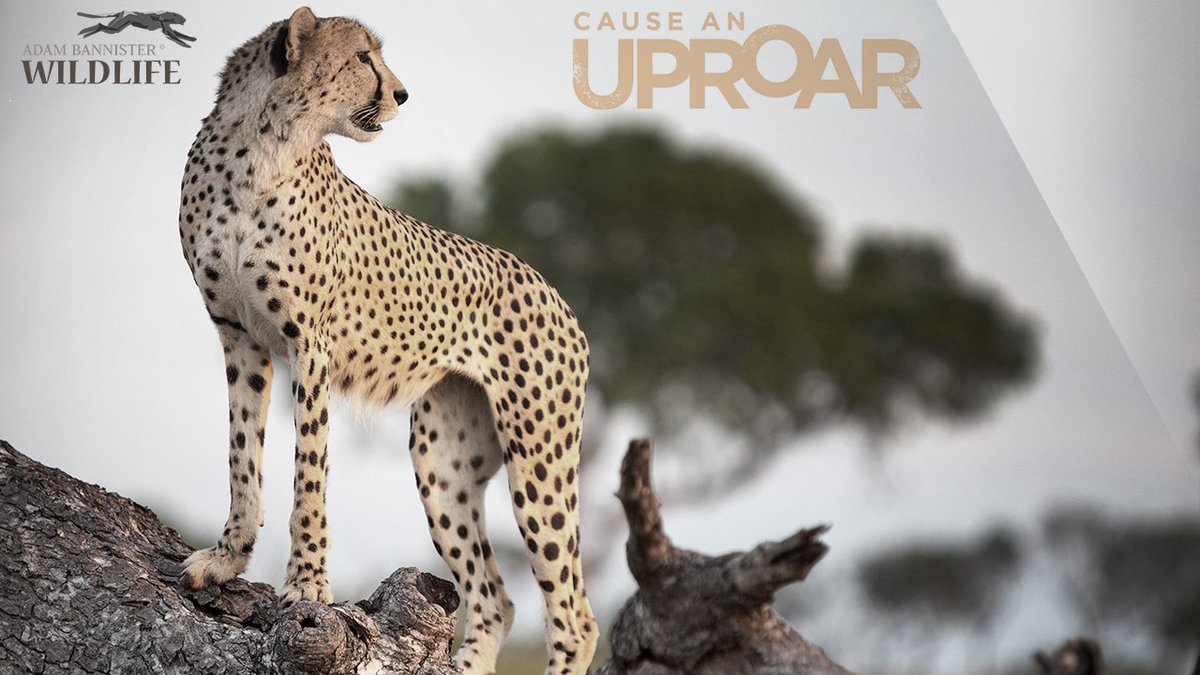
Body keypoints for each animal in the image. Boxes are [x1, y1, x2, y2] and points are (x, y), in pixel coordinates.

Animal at [176, 8, 597, 674]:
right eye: (362, 57)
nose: (401, 94)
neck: (262, 149)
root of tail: (555, 293)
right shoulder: (238, 337)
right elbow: (242, 458)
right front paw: (225, 560)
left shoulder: (310, 347)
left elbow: (309, 477)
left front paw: (308, 587)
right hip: (441, 464)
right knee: (495, 599)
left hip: (539, 454)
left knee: (575, 616)